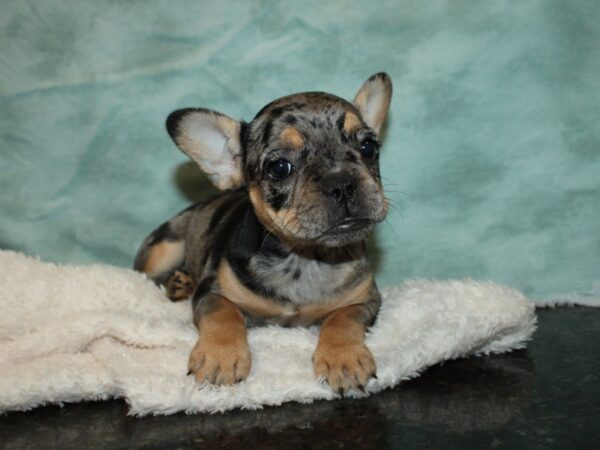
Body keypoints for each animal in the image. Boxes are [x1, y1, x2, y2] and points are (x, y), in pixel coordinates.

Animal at [134, 74, 392, 394]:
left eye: (369, 147)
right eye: (279, 167)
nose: (341, 183)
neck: (302, 258)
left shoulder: (364, 300)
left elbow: (342, 319)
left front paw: (344, 358)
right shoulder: (212, 291)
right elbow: (224, 314)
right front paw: (220, 356)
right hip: (165, 248)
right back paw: (179, 282)